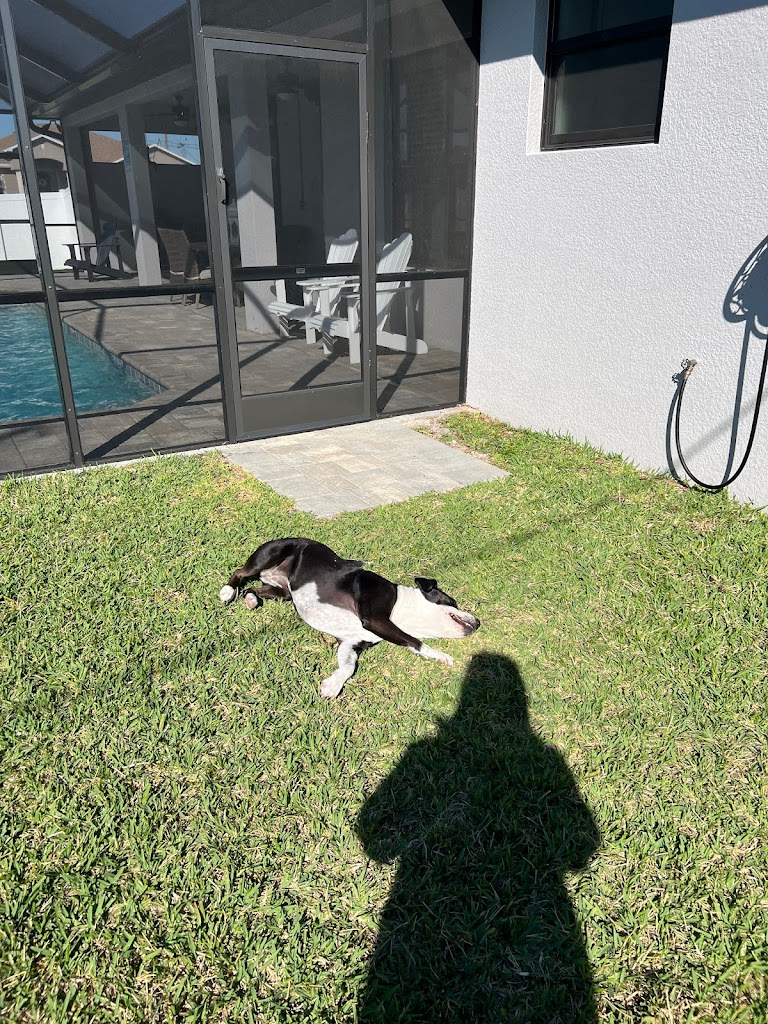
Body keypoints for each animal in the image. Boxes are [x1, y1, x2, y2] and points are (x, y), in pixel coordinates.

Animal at [219, 537, 480, 697]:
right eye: (452, 602)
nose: (478, 622)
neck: (402, 607)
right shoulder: (375, 618)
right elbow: (413, 641)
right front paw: (441, 656)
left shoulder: (350, 643)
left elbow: (348, 667)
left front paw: (332, 685)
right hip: (270, 555)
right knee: (240, 572)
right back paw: (228, 591)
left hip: (283, 592)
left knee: (256, 588)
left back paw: (251, 599)